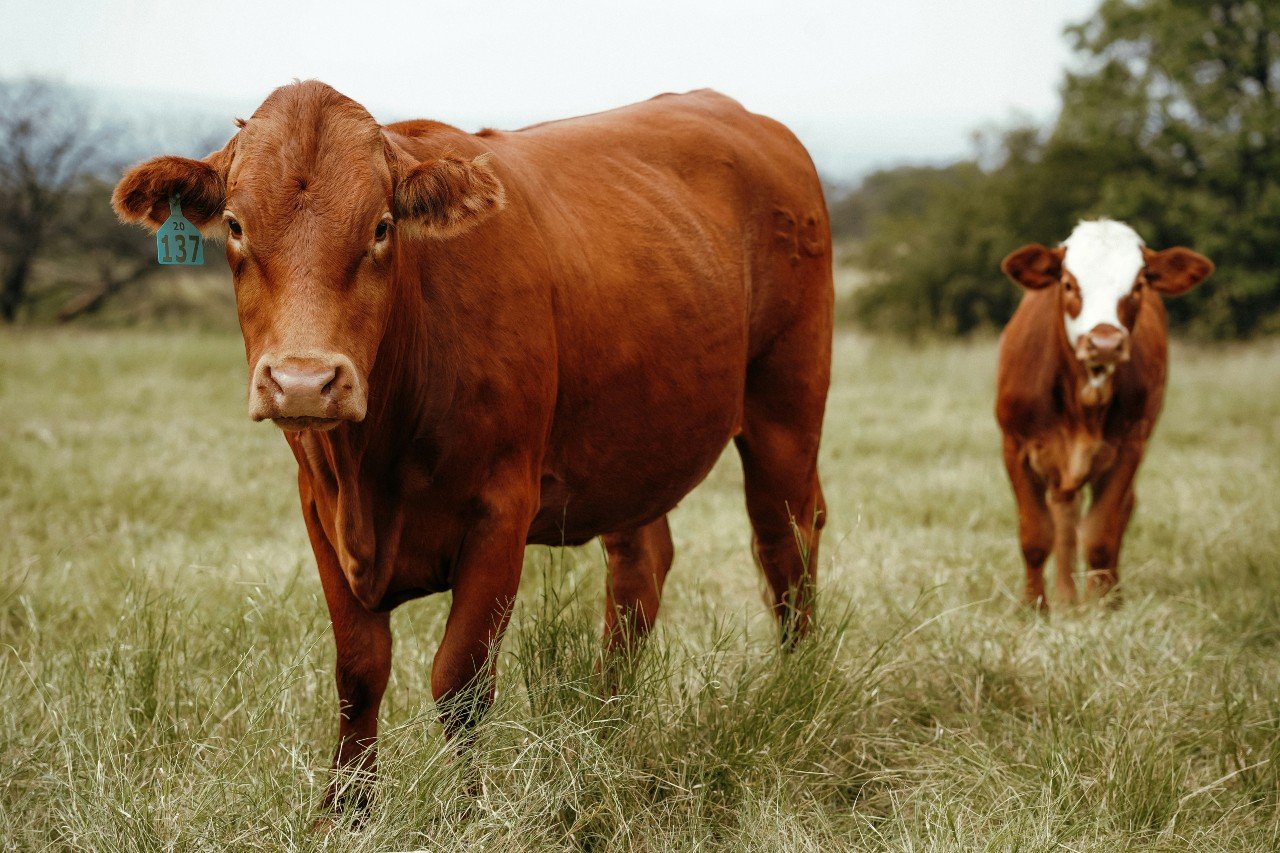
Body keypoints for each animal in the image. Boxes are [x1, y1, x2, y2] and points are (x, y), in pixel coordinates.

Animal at [111, 80, 832, 810]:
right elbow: (358, 675)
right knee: (640, 570)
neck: (372, 467)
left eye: (381, 227)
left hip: (786, 407)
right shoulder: (319, 506)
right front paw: (345, 811)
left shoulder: (501, 512)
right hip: (634, 443)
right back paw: (606, 728)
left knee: (786, 543)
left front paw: (468, 809)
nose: (304, 382)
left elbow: (460, 681)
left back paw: (796, 691)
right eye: (234, 226)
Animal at [997, 220, 1212, 609]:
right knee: (1064, 517)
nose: (1105, 343)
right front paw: (1035, 609)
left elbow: (1101, 535)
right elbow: (1036, 536)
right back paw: (1066, 597)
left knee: (1117, 514)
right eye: (1069, 283)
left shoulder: (1128, 449)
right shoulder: (1016, 446)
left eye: (1138, 285)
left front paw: (1103, 609)